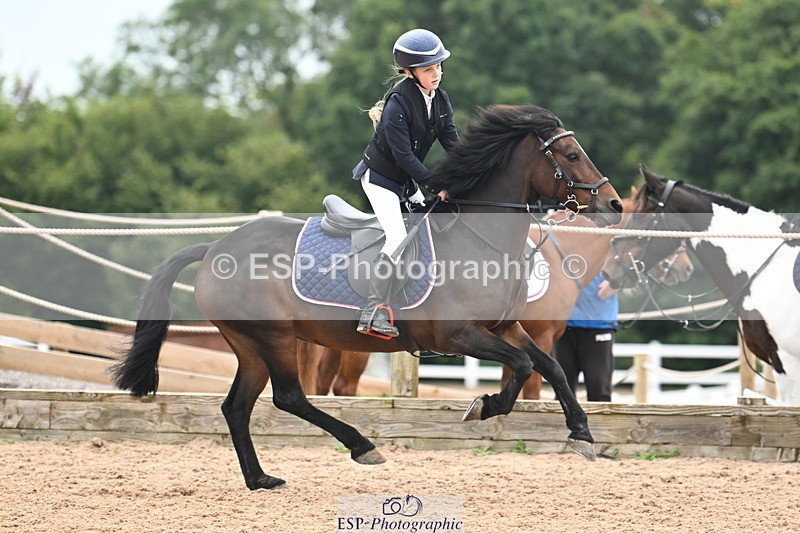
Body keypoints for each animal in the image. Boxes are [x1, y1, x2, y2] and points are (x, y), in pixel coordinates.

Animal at [111, 104, 623, 490]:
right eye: (572, 155)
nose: (615, 205)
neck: (481, 239)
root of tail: (216, 246)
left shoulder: (506, 327)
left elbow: (550, 366)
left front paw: (581, 433)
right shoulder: (458, 336)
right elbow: (520, 367)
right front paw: (485, 406)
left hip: (249, 345)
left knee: (237, 407)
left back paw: (260, 479)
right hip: (275, 337)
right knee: (289, 397)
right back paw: (362, 446)